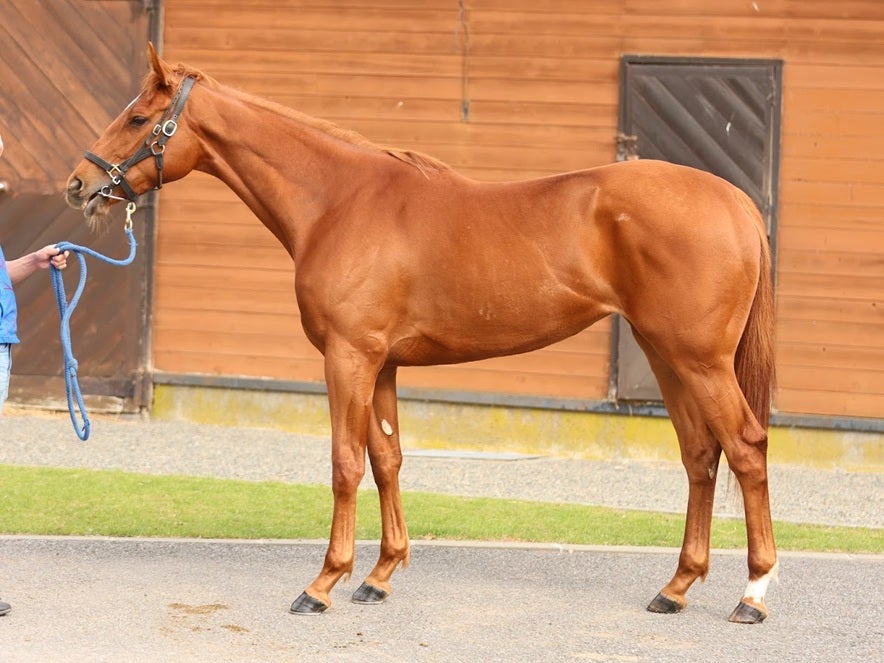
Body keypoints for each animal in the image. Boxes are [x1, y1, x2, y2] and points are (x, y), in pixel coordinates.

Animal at [65, 44, 777, 623]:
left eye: (137, 119)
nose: (80, 184)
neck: (339, 201)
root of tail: (736, 202)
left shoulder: (347, 358)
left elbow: (345, 463)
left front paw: (323, 583)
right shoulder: (382, 364)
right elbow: (387, 459)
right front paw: (379, 577)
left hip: (699, 360)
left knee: (744, 447)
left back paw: (753, 594)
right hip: (666, 356)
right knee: (700, 455)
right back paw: (676, 588)